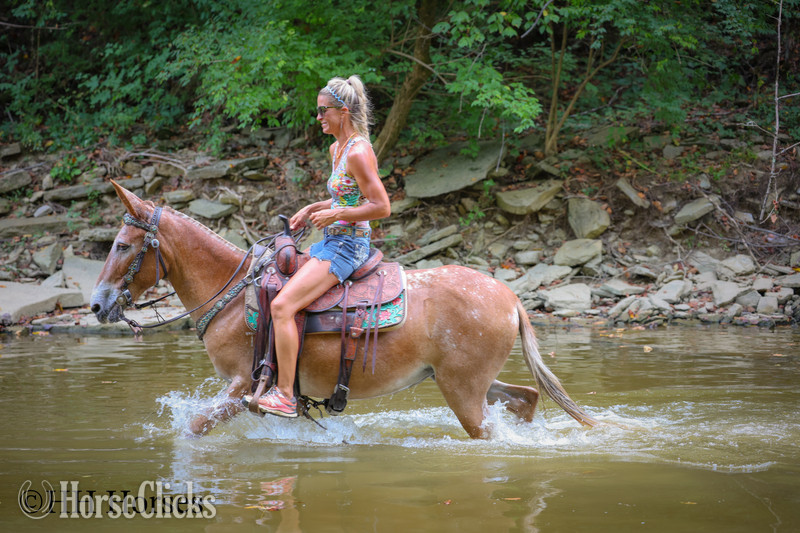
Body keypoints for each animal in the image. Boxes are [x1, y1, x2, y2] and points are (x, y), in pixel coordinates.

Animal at [90, 181, 597, 438]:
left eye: (121, 245)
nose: (96, 304)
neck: (232, 295)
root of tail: (510, 297)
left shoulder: (241, 386)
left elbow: (194, 427)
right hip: (467, 381)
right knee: (526, 397)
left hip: (464, 391)